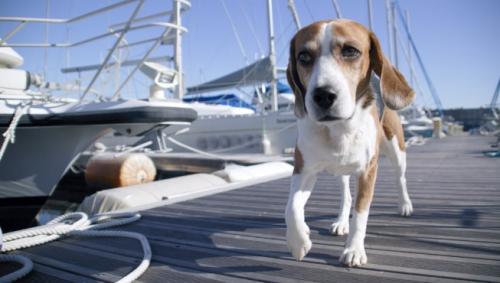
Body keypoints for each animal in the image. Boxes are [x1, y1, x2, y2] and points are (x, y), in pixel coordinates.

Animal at [286, 20, 414, 268]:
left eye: (350, 51)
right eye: (303, 56)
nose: (323, 95)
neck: (338, 129)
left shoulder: (367, 171)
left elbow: (361, 213)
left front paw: (354, 250)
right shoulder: (303, 170)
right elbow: (291, 207)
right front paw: (298, 242)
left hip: (397, 151)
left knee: (400, 178)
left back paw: (404, 204)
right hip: (340, 171)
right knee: (345, 196)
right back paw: (340, 221)